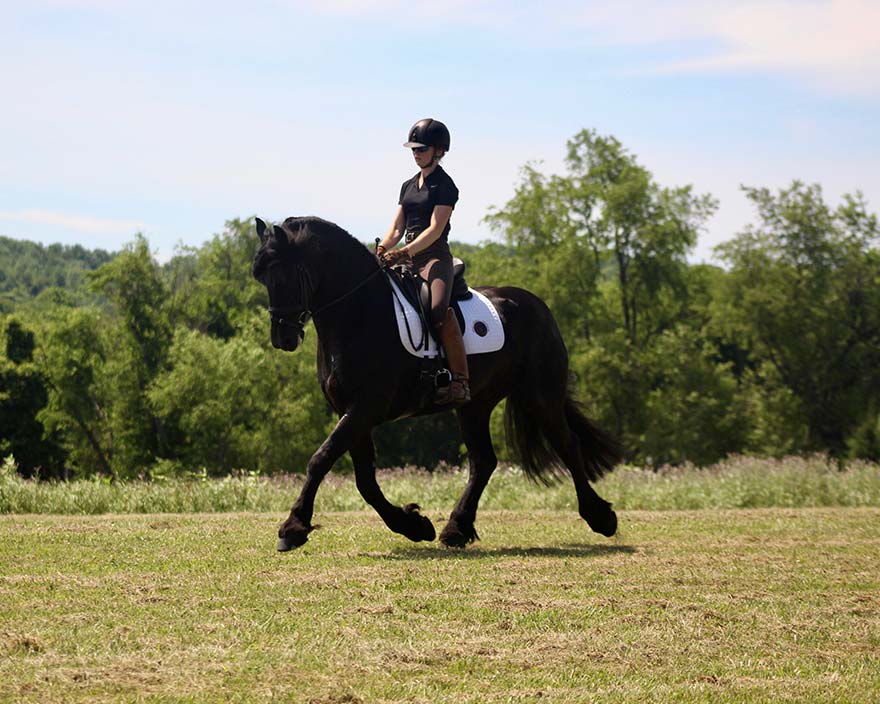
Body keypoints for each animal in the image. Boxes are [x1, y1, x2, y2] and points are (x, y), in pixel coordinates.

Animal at [252, 216, 622, 551]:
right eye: (262, 278)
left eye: (284, 275)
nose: (282, 338)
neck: (360, 314)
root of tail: (536, 304)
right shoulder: (351, 411)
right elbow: (365, 480)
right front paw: (413, 525)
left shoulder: (365, 407)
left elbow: (322, 458)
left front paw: (293, 528)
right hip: (475, 405)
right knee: (484, 462)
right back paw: (456, 529)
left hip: (540, 396)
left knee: (567, 444)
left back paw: (601, 517)